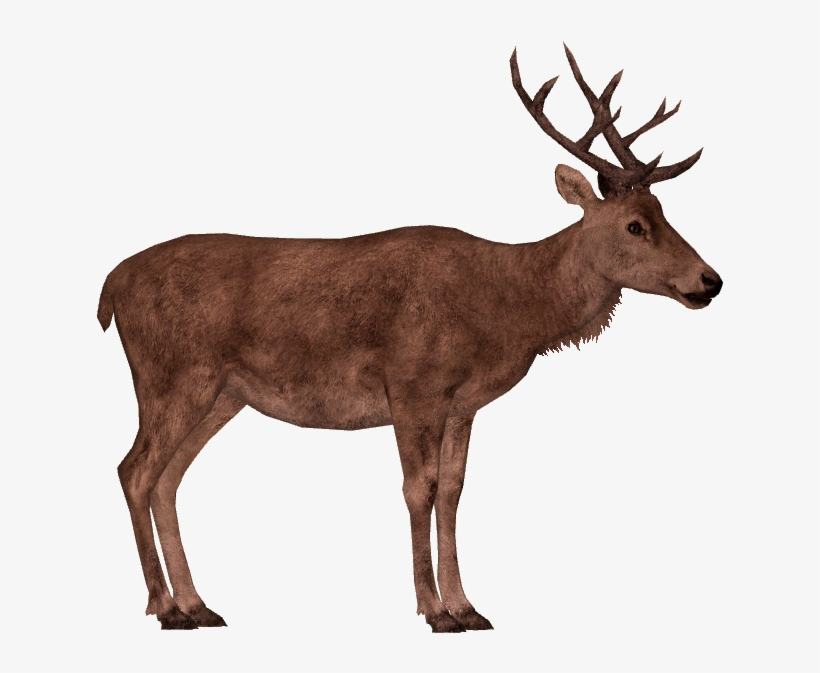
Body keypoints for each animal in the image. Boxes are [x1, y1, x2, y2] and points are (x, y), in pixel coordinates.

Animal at [97, 45, 722, 633]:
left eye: (664, 212)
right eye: (634, 225)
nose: (709, 281)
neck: (503, 311)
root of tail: (109, 287)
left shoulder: (462, 402)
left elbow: (453, 490)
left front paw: (468, 606)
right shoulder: (411, 384)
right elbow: (417, 488)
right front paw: (434, 610)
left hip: (223, 394)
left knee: (167, 479)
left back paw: (197, 604)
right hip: (171, 375)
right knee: (135, 470)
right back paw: (165, 606)